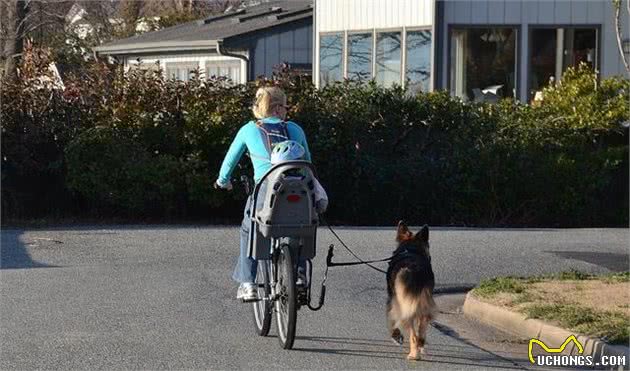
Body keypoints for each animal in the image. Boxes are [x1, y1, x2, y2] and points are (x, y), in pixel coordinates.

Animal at [388, 221, 436, 360]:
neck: (410, 248)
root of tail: (414, 269)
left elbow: (392, 321)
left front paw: (396, 336)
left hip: (405, 305)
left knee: (413, 335)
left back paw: (413, 354)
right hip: (423, 302)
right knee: (422, 325)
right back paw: (421, 344)